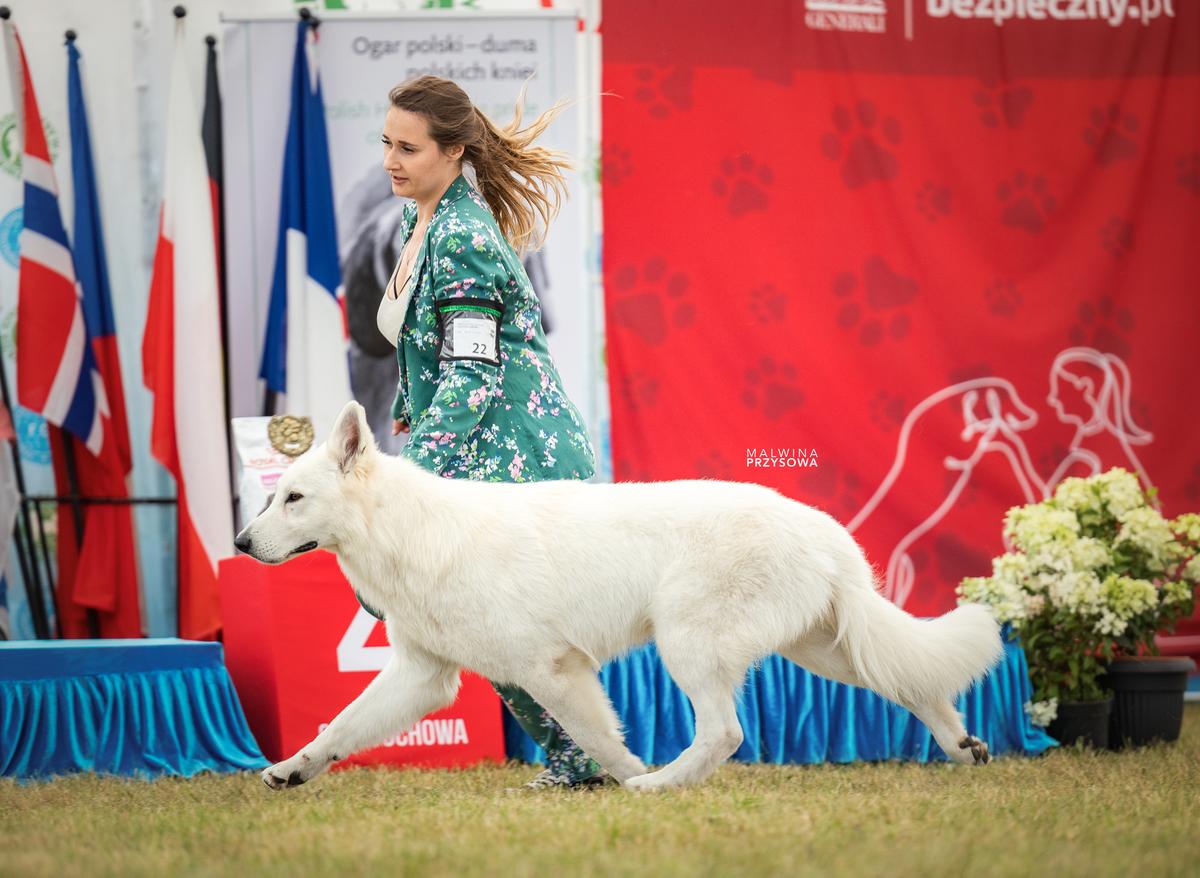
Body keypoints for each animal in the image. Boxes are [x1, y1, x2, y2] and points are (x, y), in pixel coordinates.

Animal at [234, 400, 1003, 791]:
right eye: (273, 495)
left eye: (293, 499)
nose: (240, 543)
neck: (408, 532)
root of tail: (824, 530)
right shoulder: (420, 678)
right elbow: (338, 727)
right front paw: (292, 770)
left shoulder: (551, 671)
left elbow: (598, 740)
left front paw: (627, 780)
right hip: (823, 650)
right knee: (911, 683)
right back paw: (964, 748)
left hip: (689, 642)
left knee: (724, 733)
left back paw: (659, 785)